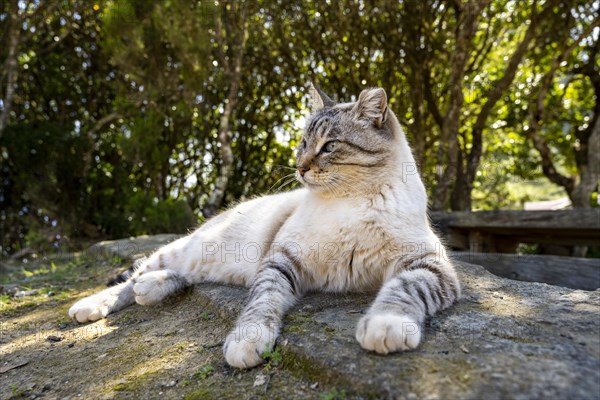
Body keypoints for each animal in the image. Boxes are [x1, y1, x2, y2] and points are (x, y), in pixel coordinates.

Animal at [71, 84, 464, 368]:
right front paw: (247, 343)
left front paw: (386, 326)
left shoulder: (428, 264)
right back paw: (90, 306)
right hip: (187, 248)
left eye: (329, 146)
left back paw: (150, 289)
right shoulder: (282, 259)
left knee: (180, 277)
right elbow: (262, 302)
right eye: (303, 143)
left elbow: (403, 290)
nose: (301, 167)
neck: (345, 202)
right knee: (133, 279)